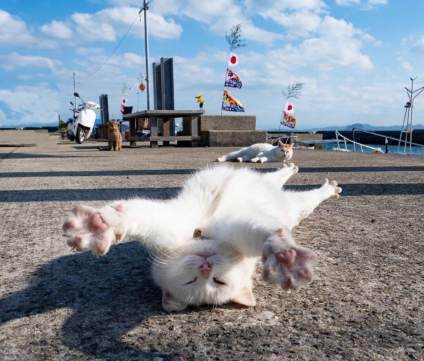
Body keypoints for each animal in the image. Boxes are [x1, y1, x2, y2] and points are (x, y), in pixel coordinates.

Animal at [63, 162, 342, 310]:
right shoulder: (171, 224)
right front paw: (97, 228)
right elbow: (136, 216)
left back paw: (311, 179)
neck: (203, 235)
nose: (206, 265)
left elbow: (266, 234)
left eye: (218, 281)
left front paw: (283, 256)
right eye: (192, 281)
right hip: (284, 196)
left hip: (290, 203)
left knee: (288, 184)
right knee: (282, 183)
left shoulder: (239, 228)